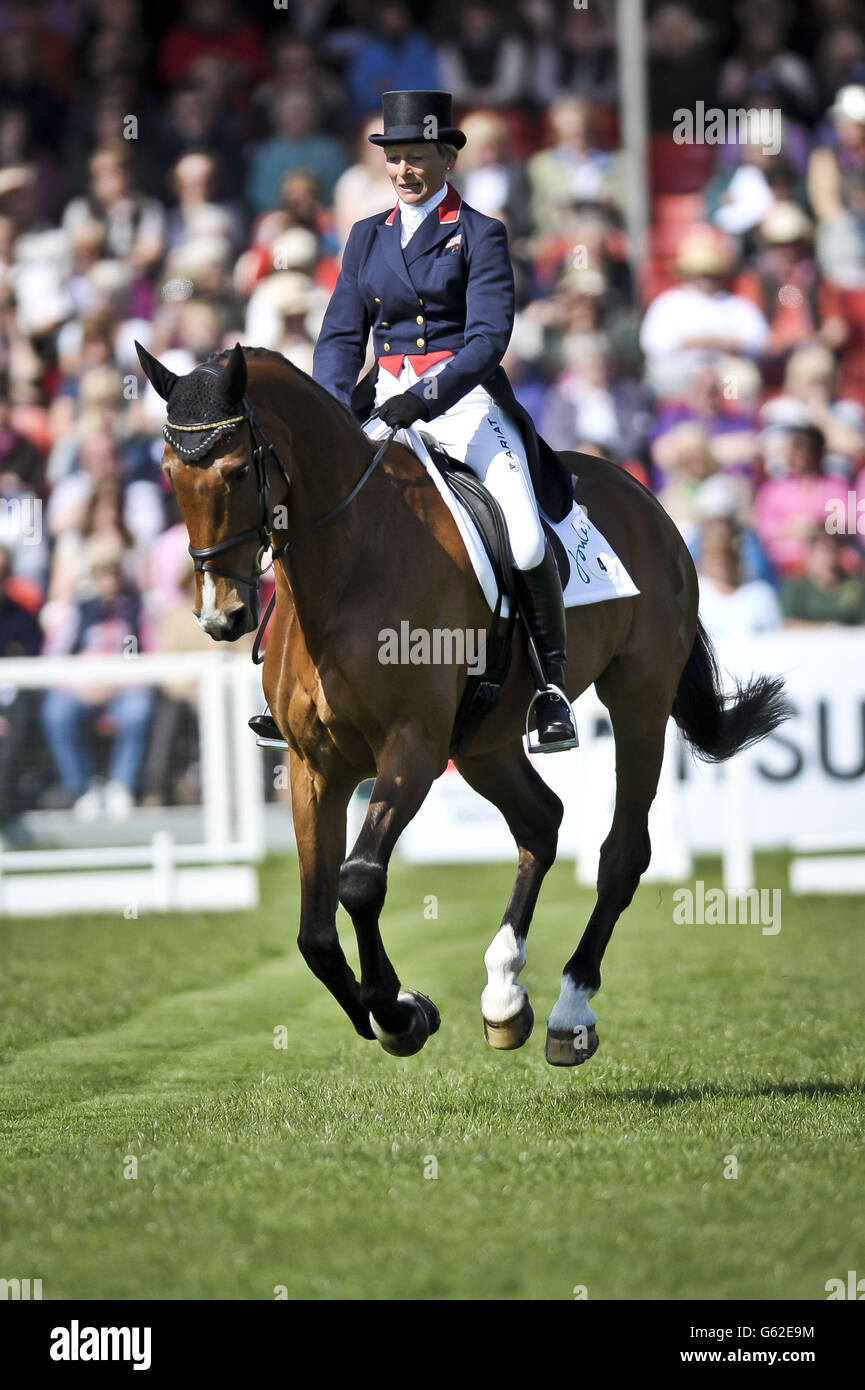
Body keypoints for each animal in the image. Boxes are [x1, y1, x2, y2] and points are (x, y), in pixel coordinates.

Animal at [136, 344, 795, 1061]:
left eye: (233, 472)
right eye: (168, 473)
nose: (220, 616)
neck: (345, 566)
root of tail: (643, 498)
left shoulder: (413, 749)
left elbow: (360, 881)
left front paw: (398, 1015)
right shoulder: (315, 767)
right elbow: (314, 934)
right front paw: (397, 1009)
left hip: (638, 701)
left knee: (621, 854)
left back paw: (569, 1009)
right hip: (484, 741)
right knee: (540, 821)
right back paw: (504, 992)